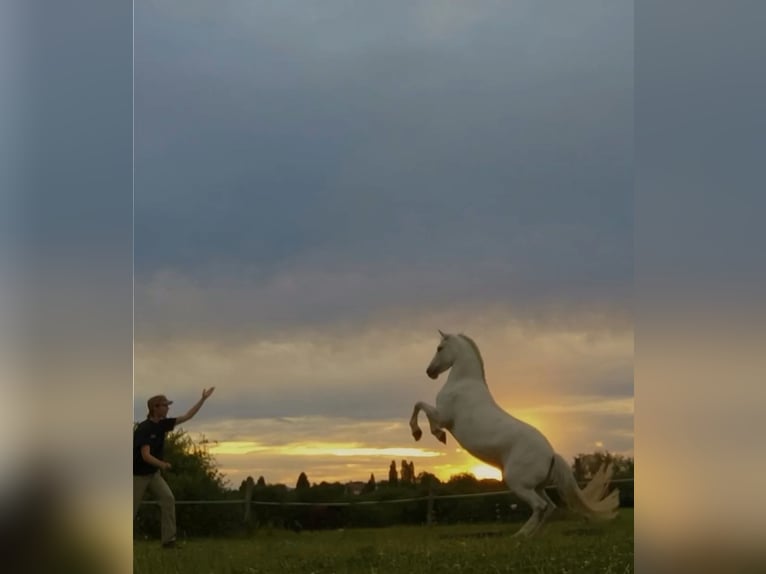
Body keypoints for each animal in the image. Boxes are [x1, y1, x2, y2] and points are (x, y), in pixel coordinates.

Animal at [409, 330, 620, 537]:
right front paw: (432, 434)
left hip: (518, 482)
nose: (430, 372)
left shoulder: (443, 416)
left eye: (439, 348)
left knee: (541, 506)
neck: (463, 384)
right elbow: (421, 408)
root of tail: (551, 455)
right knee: (550, 507)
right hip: (537, 486)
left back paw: (519, 536)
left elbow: (420, 406)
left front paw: (425, 433)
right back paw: (532, 536)